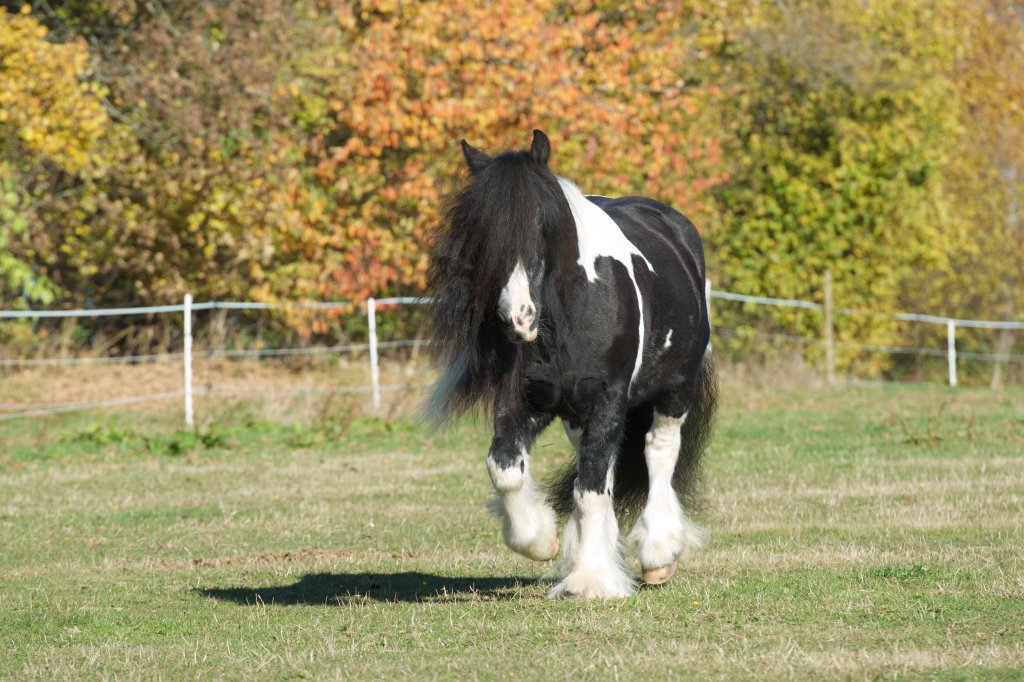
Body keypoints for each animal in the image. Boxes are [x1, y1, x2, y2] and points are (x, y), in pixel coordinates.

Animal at [427, 130, 717, 599]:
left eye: (542, 225)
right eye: (481, 231)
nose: (517, 318)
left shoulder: (608, 401)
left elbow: (592, 491)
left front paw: (589, 581)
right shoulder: (527, 402)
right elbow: (506, 470)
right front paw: (541, 539)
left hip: (675, 388)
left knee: (659, 451)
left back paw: (658, 553)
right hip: (577, 414)